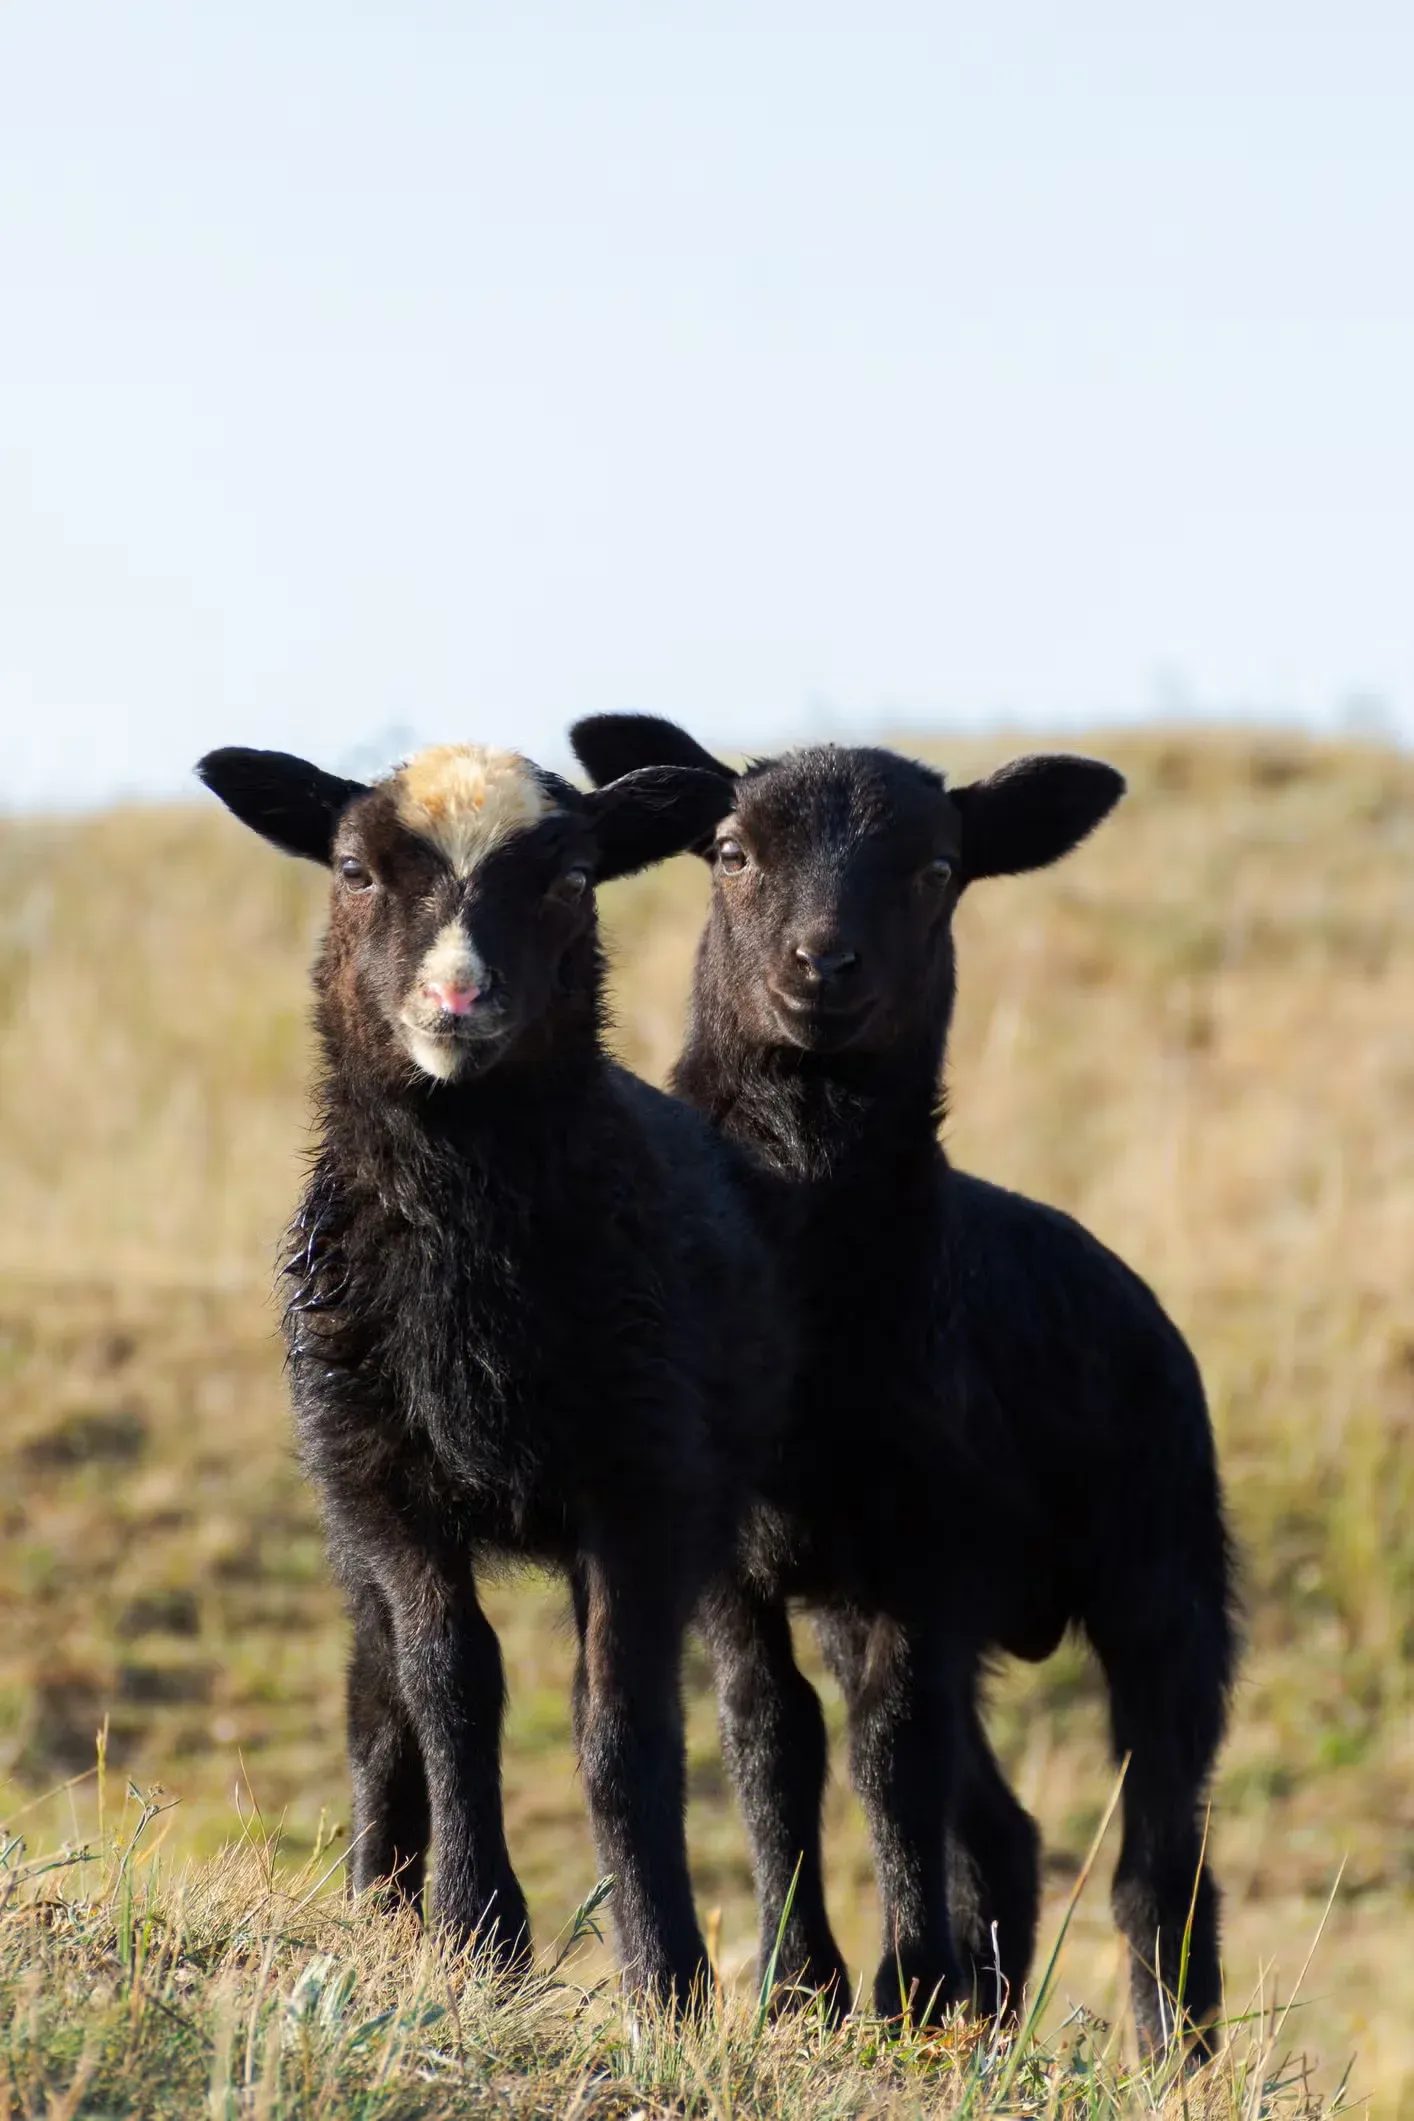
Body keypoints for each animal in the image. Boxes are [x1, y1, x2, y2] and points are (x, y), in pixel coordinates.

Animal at [195, 739, 790, 2010]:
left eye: (570, 879)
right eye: (355, 871)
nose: (459, 1001)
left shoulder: (646, 1484)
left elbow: (621, 1724)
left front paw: (666, 1977)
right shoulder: (380, 1483)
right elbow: (448, 1690)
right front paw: (476, 1934)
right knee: (377, 1701)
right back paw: (376, 1906)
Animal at [570, 714, 1237, 2058]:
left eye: (937, 869)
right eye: (729, 850)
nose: (823, 968)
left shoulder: (928, 1546)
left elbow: (889, 1754)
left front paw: (901, 1988)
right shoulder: (732, 1554)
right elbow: (770, 1738)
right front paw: (803, 1989)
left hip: (1165, 1568)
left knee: (1160, 1839)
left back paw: (1167, 2048)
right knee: (1006, 1827)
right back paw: (987, 2024)